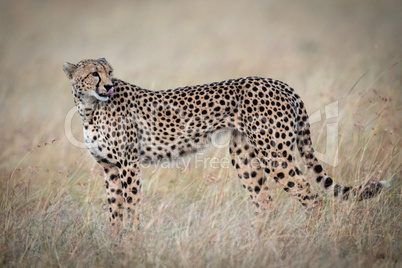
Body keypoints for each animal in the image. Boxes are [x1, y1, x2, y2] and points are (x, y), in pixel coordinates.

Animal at [63, 58, 386, 232]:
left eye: (109, 72)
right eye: (94, 73)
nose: (108, 86)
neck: (90, 107)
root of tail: (280, 83)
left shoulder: (128, 164)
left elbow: (131, 208)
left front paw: (132, 243)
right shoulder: (109, 168)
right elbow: (114, 212)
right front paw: (114, 245)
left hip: (274, 154)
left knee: (310, 196)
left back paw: (307, 238)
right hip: (244, 156)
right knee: (264, 202)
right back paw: (256, 245)